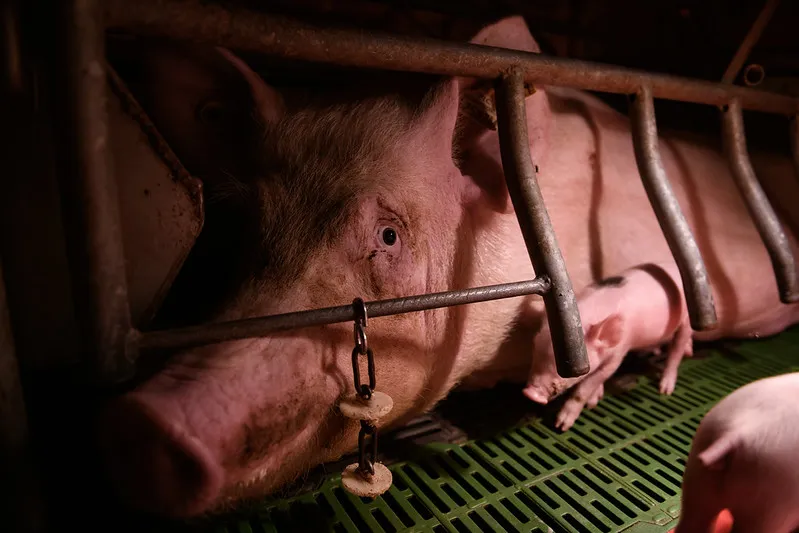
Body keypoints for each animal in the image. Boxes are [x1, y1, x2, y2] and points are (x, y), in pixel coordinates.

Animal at [523, 262, 694, 431]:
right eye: (535, 347)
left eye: (570, 368)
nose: (530, 393)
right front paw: (593, 401)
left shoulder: (619, 351)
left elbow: (588, 385)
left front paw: (561, 425)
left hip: (687, 318)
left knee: (678, 347)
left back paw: (666, 388)